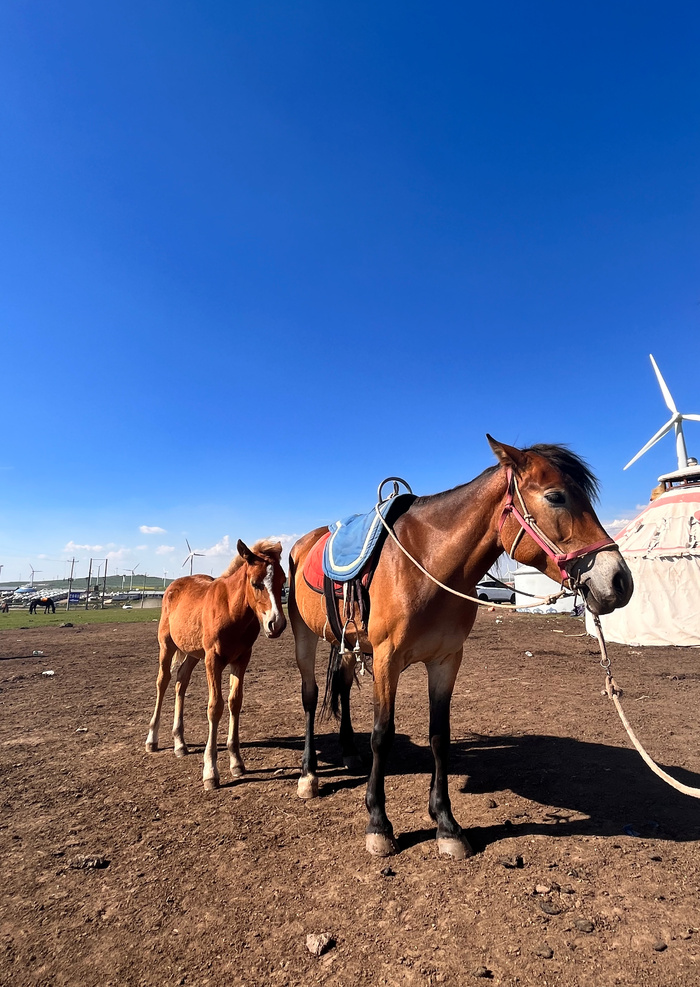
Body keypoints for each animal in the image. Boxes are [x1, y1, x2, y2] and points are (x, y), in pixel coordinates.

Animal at [145, 536, 288, 792]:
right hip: (167, 645)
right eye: (256, 583)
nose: (276, 624)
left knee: (181, 682)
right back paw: (152, 740)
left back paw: (180, 743)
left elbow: (235, 702)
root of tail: (173, 587)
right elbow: (215, 707)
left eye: (282, 582)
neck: (232, 610)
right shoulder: (213, 660)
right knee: (163, 682)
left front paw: (237, 762)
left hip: (193, 653)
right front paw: (210, 772)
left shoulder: (241, 659)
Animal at [288, 436, 636, 860]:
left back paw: (350, 753)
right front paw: (379, 824)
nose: (620, 580)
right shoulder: (387, 659)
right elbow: (383, 735)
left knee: (340, 689)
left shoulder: (446, 660)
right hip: (304, 637)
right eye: (556, 497)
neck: (427, 563)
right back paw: (308, 775)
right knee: (310, 697)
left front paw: (446, 824)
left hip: (349, 645)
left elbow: (440, 736)